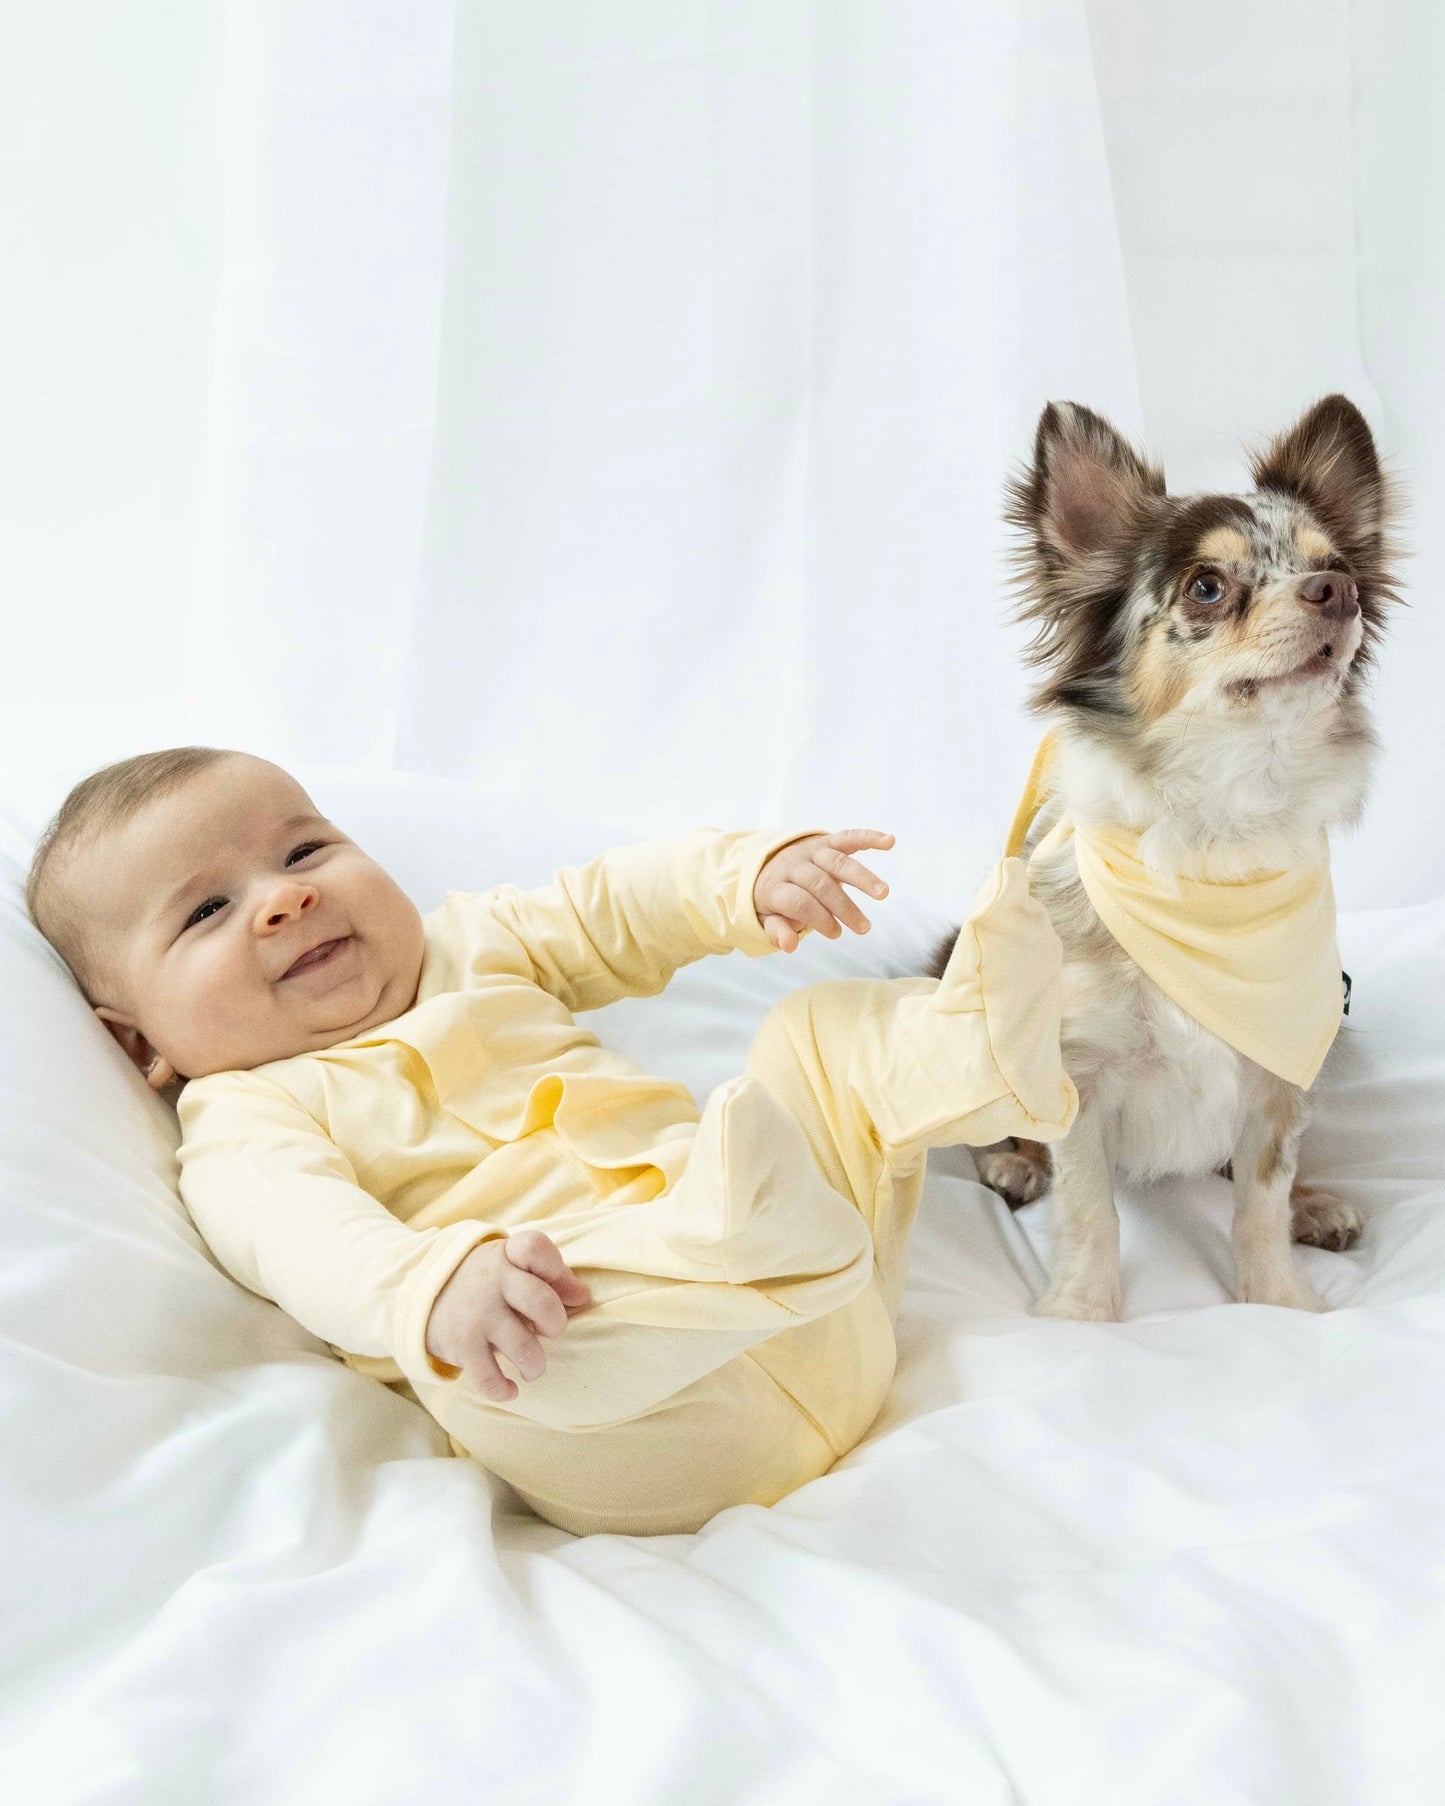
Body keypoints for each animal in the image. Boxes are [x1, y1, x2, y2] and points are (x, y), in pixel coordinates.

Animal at [932, 395, 1394, 1321]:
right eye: (1206, 587)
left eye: (1332, 565)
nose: (1339, 591)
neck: (1218, 830)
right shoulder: (1075, 1071)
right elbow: (1090, 1207)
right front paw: (1082, 1314)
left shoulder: (1279, 1071)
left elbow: (1260, 1196)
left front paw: (1278, 1300)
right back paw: (1010, 1160)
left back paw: (1314, 1205)